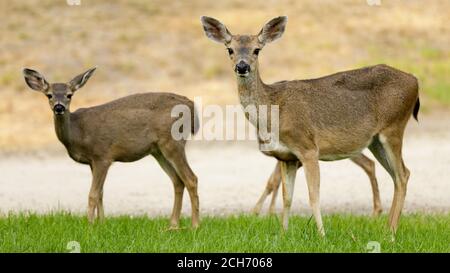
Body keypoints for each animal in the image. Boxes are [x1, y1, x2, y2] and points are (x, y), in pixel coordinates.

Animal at [23, 68, 200, 227]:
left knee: (191, 178)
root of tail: (190, 105)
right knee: (178, 181)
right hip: (158, 151)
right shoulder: (92, 162)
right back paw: (173, 226)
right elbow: (101, 193)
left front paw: (89, 226)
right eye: (49, 95)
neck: (78, 132)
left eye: (69, 95)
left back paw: (194, 226)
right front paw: (101, 224)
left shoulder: (103, 156)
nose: (59, 107)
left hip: (172, 142)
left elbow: (93, 194)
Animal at [251, 154, 382, 216]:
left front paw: (259, 211)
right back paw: (377, 211)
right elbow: (276, 179)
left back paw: (377, 211)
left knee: (369, 164)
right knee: (370, 163)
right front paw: (267, 212)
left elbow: (274, 179)